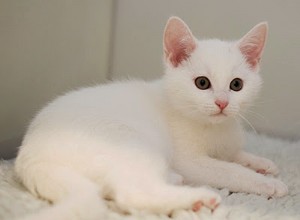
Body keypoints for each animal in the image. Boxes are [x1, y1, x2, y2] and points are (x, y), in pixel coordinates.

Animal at [15, 16, 288, 219]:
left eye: (236, 85)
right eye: (202, 83)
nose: (222, 103)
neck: (213, 127)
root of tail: (29, 155)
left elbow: (234, 155)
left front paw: (262, 163)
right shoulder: (188, 160)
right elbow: (229, 170)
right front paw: (267, 183)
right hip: (133, 143)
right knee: (131, 193)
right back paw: (196, 198)